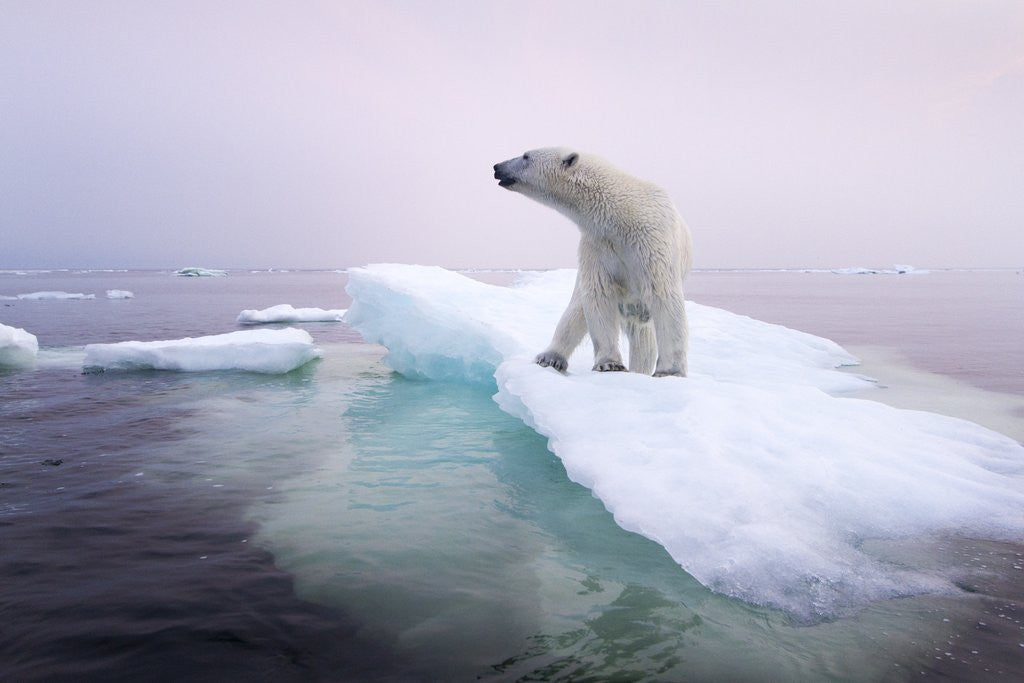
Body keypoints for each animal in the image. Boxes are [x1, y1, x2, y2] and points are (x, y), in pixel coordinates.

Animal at [493, 147, 693, 376]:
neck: (621, 216)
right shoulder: (598, 245)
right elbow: (598, 294)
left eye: (526, 156)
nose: (497, 167)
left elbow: (663, 294)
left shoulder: (651, 241)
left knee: (643, 338)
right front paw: (610, 364)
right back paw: (550, 357)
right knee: (576, 311)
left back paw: (639, 370)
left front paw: (670, 371)